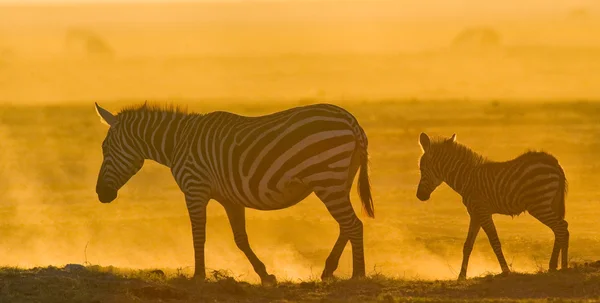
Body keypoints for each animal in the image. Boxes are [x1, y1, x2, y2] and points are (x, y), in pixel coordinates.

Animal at [94, 102, 376, 284]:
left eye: (105, 148)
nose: (100, 194)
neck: (177, 143)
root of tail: (350, 120)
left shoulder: (195, 189)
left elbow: (198, 235)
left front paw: (198, 276)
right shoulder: (230, 198)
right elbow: (240, 238)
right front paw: (266, 275)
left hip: (327, 178)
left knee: (353, 224)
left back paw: (358, 276)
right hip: (338, 181)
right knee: (347, 225)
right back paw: (329, 270)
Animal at [414, 133, 568, 280]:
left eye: (422, 169)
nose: (419, 196)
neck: (467, 178)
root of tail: (554, 162)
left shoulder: (483, 211)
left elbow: (494, 242)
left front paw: (505, 271)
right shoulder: (475, 214)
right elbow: (468, 245)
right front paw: (462, 275)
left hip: (539, 205)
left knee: (561, 227)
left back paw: (558, 267)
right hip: (550, 203)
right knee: (562, 228)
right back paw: (560, 266)